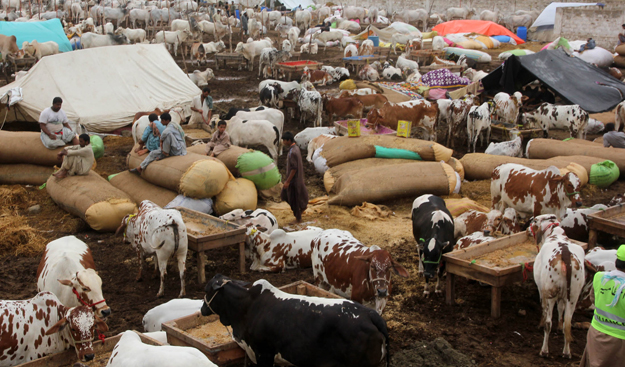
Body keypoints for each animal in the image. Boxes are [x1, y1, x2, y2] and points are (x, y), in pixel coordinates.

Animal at [528, 216, 584, 360]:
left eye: (535, 221)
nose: (527, 229)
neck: (556, 235)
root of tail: (565, 253)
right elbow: (561, 310)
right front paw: (558, 327)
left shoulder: (541, 289)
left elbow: (543, 309)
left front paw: (540, 323)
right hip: (573, 296)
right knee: (567, 323)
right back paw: (566, 352)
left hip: (551, 293)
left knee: (548, 323)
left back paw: (544, 350)